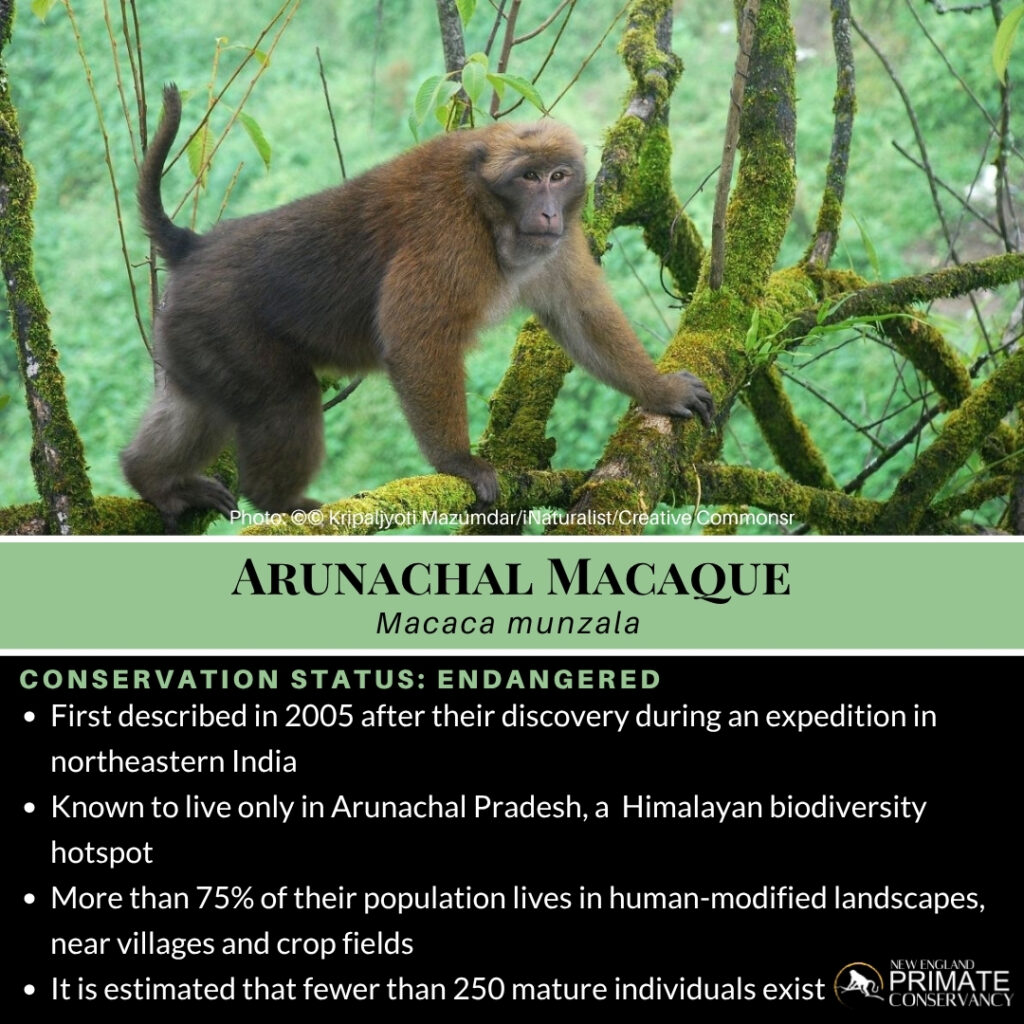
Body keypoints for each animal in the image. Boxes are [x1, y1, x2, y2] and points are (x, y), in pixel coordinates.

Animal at [122, 84, 714, 530]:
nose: (548, 211)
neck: (487, 211)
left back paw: (152, 480)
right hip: (224, 324)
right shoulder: (446, 235)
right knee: (284, 398)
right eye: (528, 177)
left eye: (559, 176)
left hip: (191, 333)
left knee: (198, 406)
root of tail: (194, 247)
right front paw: (459, 463)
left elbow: (579, 317)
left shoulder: (561, 241)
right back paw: (277, 501)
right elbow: (416, 340)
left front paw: (661, 392)